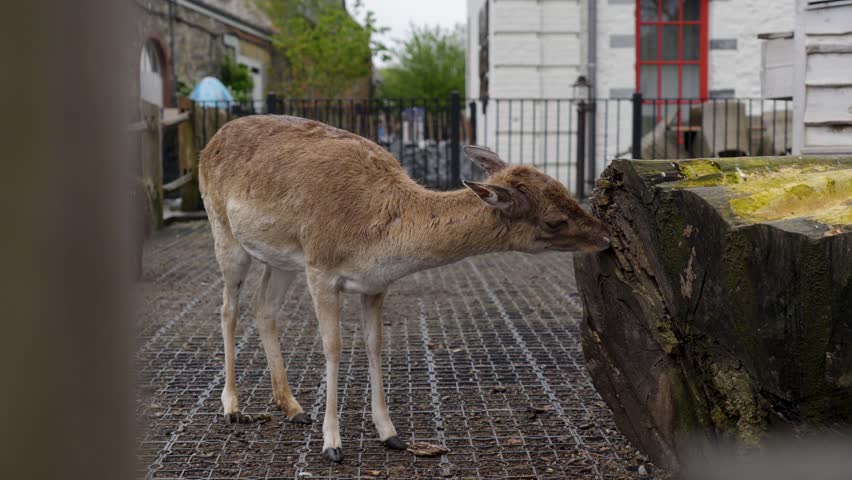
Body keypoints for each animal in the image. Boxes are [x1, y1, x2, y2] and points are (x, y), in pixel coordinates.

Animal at [198, 115, 611, 463]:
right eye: (554, 220)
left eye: (563, 189)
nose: (604, 236)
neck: (378, 234)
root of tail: (212, 139)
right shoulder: (320, 268)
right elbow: (333, 347)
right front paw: (332, 443)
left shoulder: (375, 285)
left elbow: (375, 344)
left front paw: (390, 433)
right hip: (224, 232)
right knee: (228, 308)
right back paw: (233, 406)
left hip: (281, 259)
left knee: (264, 306)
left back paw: (293, 407)